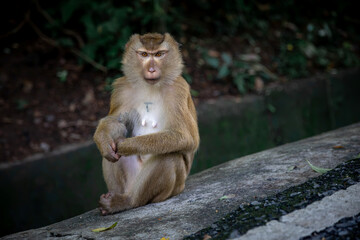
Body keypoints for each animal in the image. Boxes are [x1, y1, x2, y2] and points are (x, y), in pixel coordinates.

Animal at [93, 32, 200, 216]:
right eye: (143, 54)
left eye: (158, 54)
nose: (151, 70)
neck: (152, 86)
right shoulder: (123, 89)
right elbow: (116, 122)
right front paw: (103, 139)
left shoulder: (178, 90)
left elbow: (185, 137)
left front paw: (125, 145)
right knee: (110, 153)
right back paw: (115, 200)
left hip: (171, 190)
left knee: (169, 156)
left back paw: (128, 202)